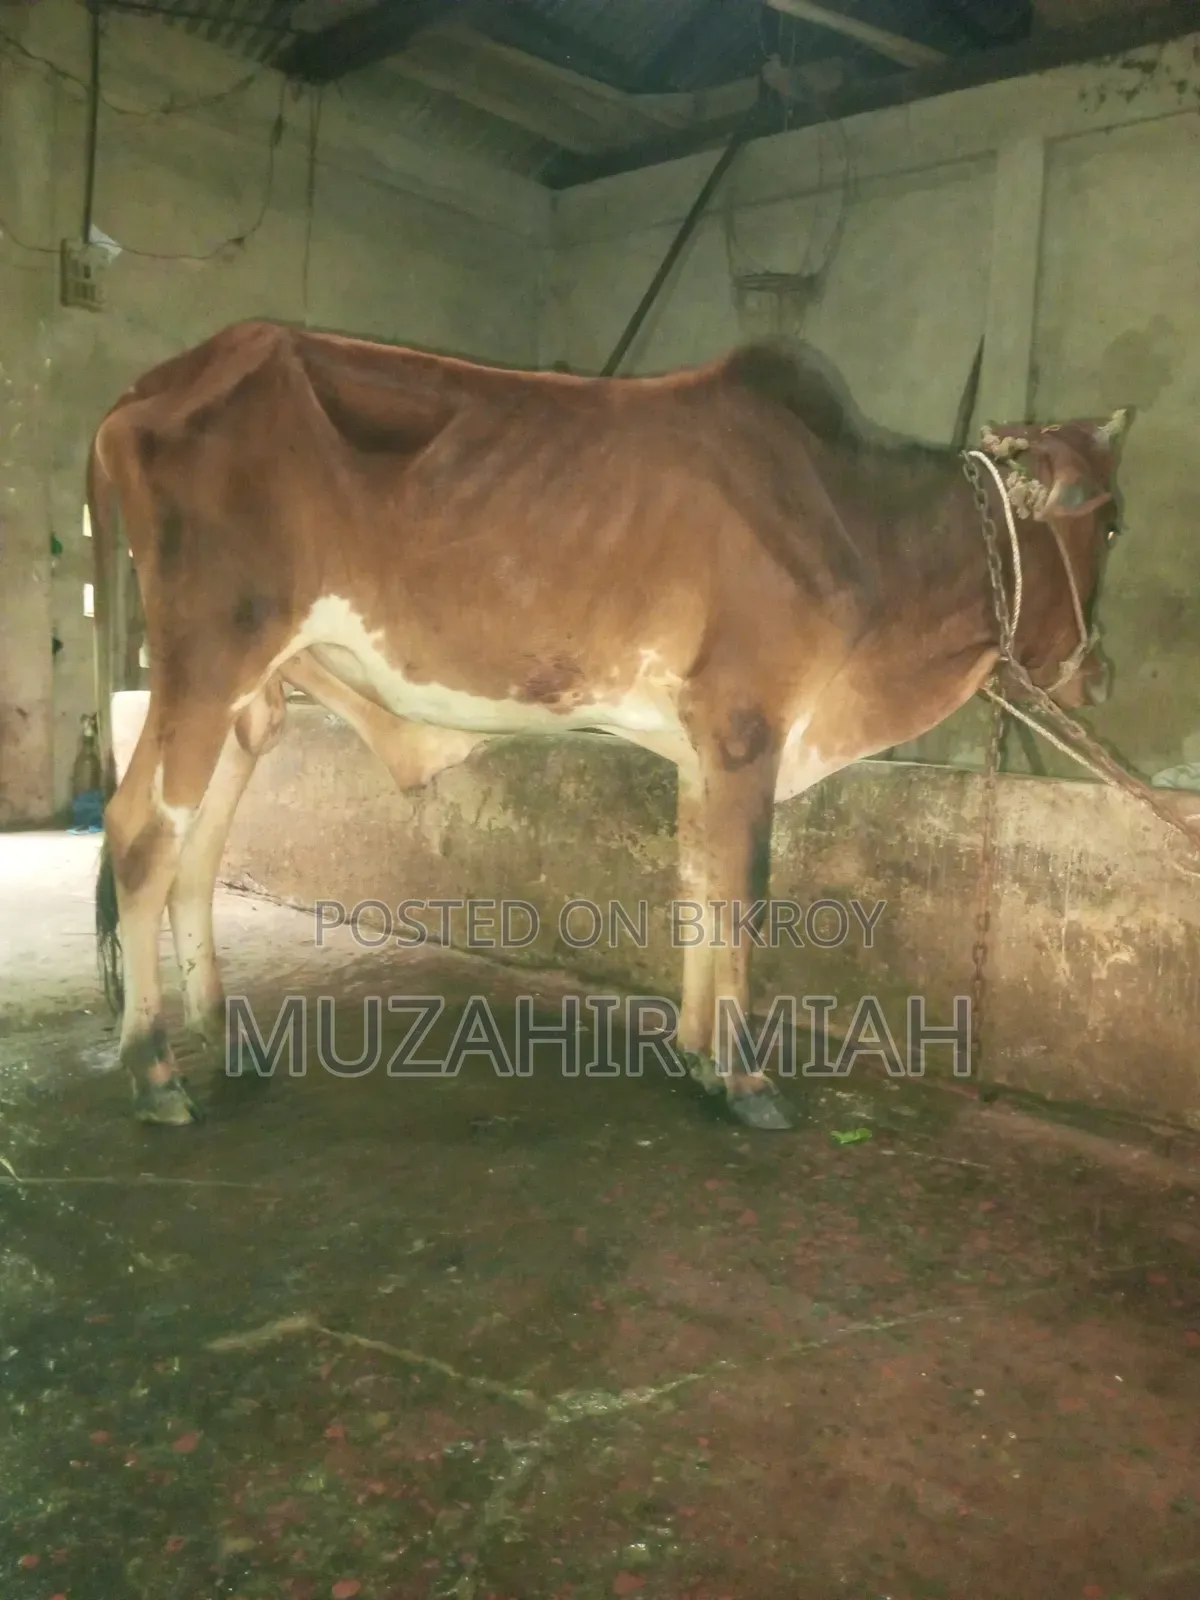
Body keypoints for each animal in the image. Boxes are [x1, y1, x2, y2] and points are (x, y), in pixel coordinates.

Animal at [87, 320, 1129, 1130]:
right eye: (1112, 523)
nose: (1100, 672)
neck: (861, 520)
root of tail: (147, 388)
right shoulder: (748, 729)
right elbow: (742, 893)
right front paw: (747, 1077)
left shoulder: (702, 749)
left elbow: (699, 887)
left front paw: (699, 1056)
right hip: (207, 662)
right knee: (140, 836)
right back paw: (154, 1071)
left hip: (247, 702)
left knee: (194, 858)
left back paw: (229, 1042)